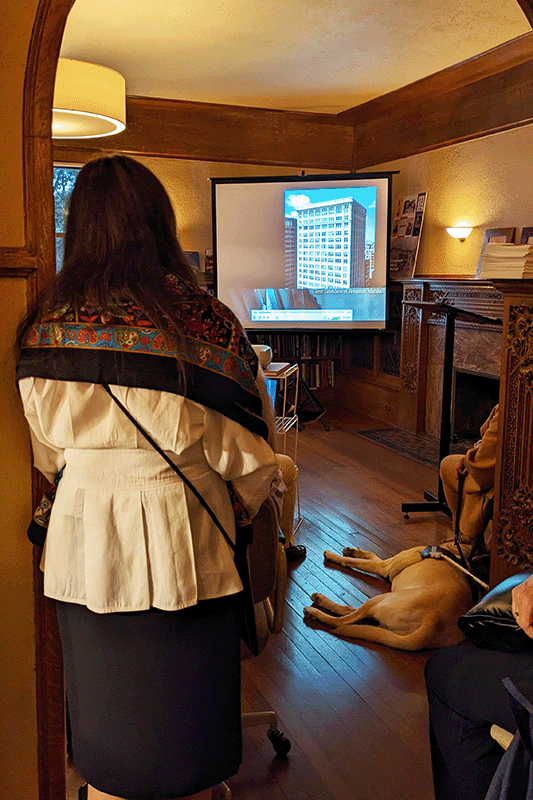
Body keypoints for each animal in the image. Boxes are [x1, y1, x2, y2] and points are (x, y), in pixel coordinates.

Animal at [304, 544, 474, 648]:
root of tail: (434, 620)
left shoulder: (384, 566)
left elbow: (351, 561)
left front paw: (335, 556)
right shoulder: (387, 565)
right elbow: (371, 554)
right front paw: (353, 550)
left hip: (381, 599)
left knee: (342, 620)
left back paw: (316, 609)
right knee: (350, 611)